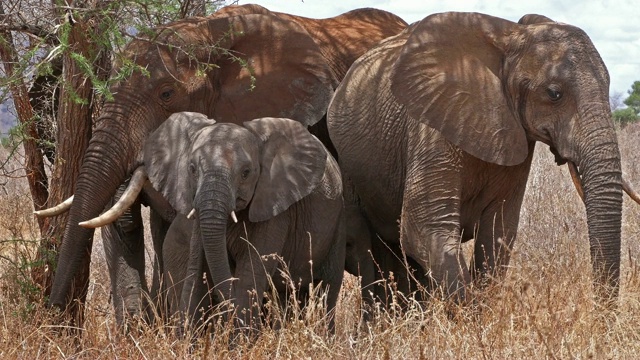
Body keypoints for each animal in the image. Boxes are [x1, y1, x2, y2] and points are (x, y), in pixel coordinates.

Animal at [140, 112, 344, 332]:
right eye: (192, 169)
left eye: (246, 173)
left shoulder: (274, 207)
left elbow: (250, 272)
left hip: (338, 222)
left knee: (328, 286)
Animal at [330, 12, 632, 308]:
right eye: (554, 93)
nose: (600, 313)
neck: (509, 40)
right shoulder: (433, 124)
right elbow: (425, 227)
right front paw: (472, 316)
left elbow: (497, 231)